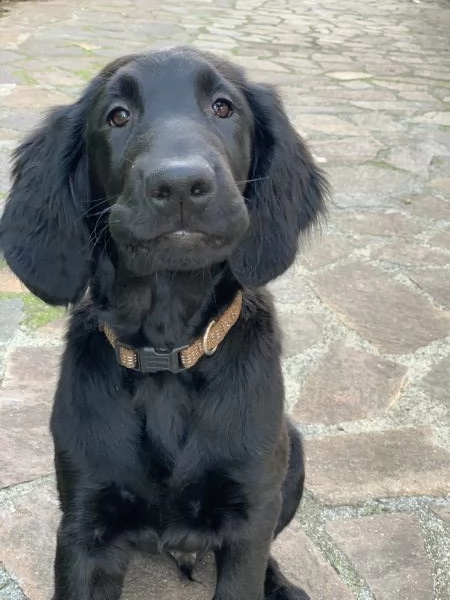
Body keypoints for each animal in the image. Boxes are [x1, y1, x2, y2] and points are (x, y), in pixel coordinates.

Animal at [0, 44, 326, 596]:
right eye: (118, 116)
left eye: (223, 108)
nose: (180, 184)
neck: (166, 357)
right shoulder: (84, 524)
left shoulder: (250, 515)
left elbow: (249, 564)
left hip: (292, 458)